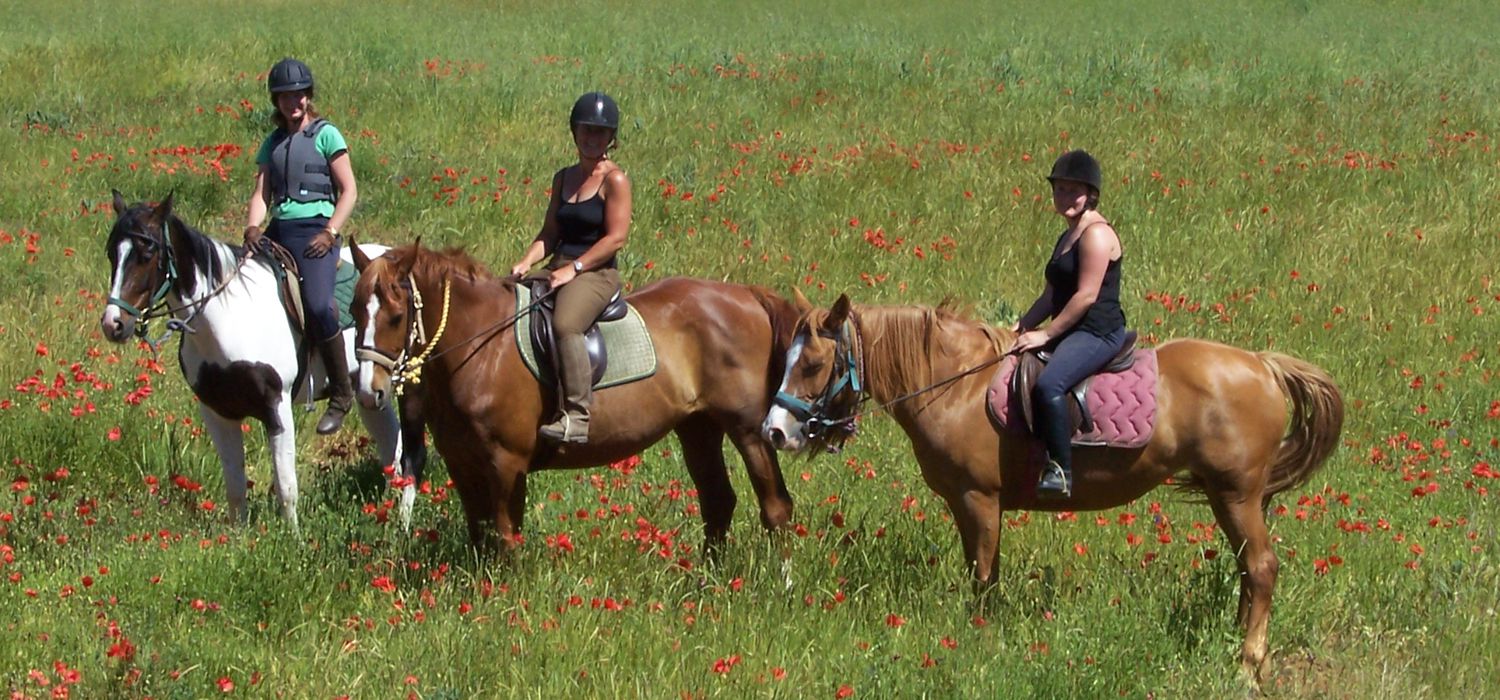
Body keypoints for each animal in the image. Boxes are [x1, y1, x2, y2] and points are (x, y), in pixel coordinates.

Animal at [349, 244, 804, 557]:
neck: (480, 345)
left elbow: (506, 535)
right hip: (698, 428)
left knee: (776, 508)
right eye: (354, 311)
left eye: (396, 316)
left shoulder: (506, 462)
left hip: (749, 430)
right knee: (718, 502)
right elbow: (479, 534)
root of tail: (746, 296)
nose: (369, 391)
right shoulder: (463, 464)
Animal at [762, 293, 1350, 683]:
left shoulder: (978, 499)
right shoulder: (970, 504)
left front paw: (978, 637)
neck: (958, 386)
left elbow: (982, 576)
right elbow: (986, 572)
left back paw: (1248, 663)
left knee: (1263, 568)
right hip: (1230, 497)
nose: (775, 431)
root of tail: (1265, 367)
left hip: (1236, 494)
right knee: (1249, 569)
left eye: (812, 363)